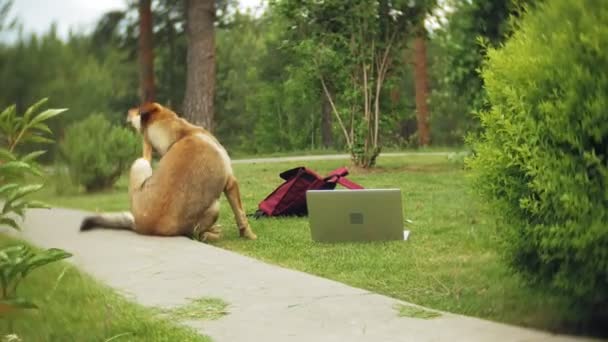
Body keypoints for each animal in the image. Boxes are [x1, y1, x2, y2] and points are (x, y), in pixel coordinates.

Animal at [80, 101, 256, 240]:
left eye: (136, 108)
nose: (128, 111)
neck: (181, 135)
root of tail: (139, 225)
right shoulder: (231, 183)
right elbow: (240, 214)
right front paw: (248, 235)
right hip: (212, 205)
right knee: (199, 234)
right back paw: (212, 232)